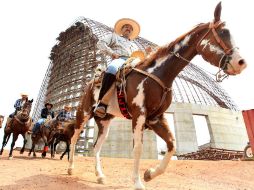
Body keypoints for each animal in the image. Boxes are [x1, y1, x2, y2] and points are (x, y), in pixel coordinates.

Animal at [67, 2, 246, 190]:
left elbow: (171, 145)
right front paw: (138, 182)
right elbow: (138, 148)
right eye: (223, 32)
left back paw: (100, 176)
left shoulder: (156, 118)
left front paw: (149, 174)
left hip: (104, 121)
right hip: (83, 114)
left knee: (96, 147)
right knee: (74, 138)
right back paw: (71, 168)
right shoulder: (139, 115)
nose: (241, 63)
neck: (156, 75)